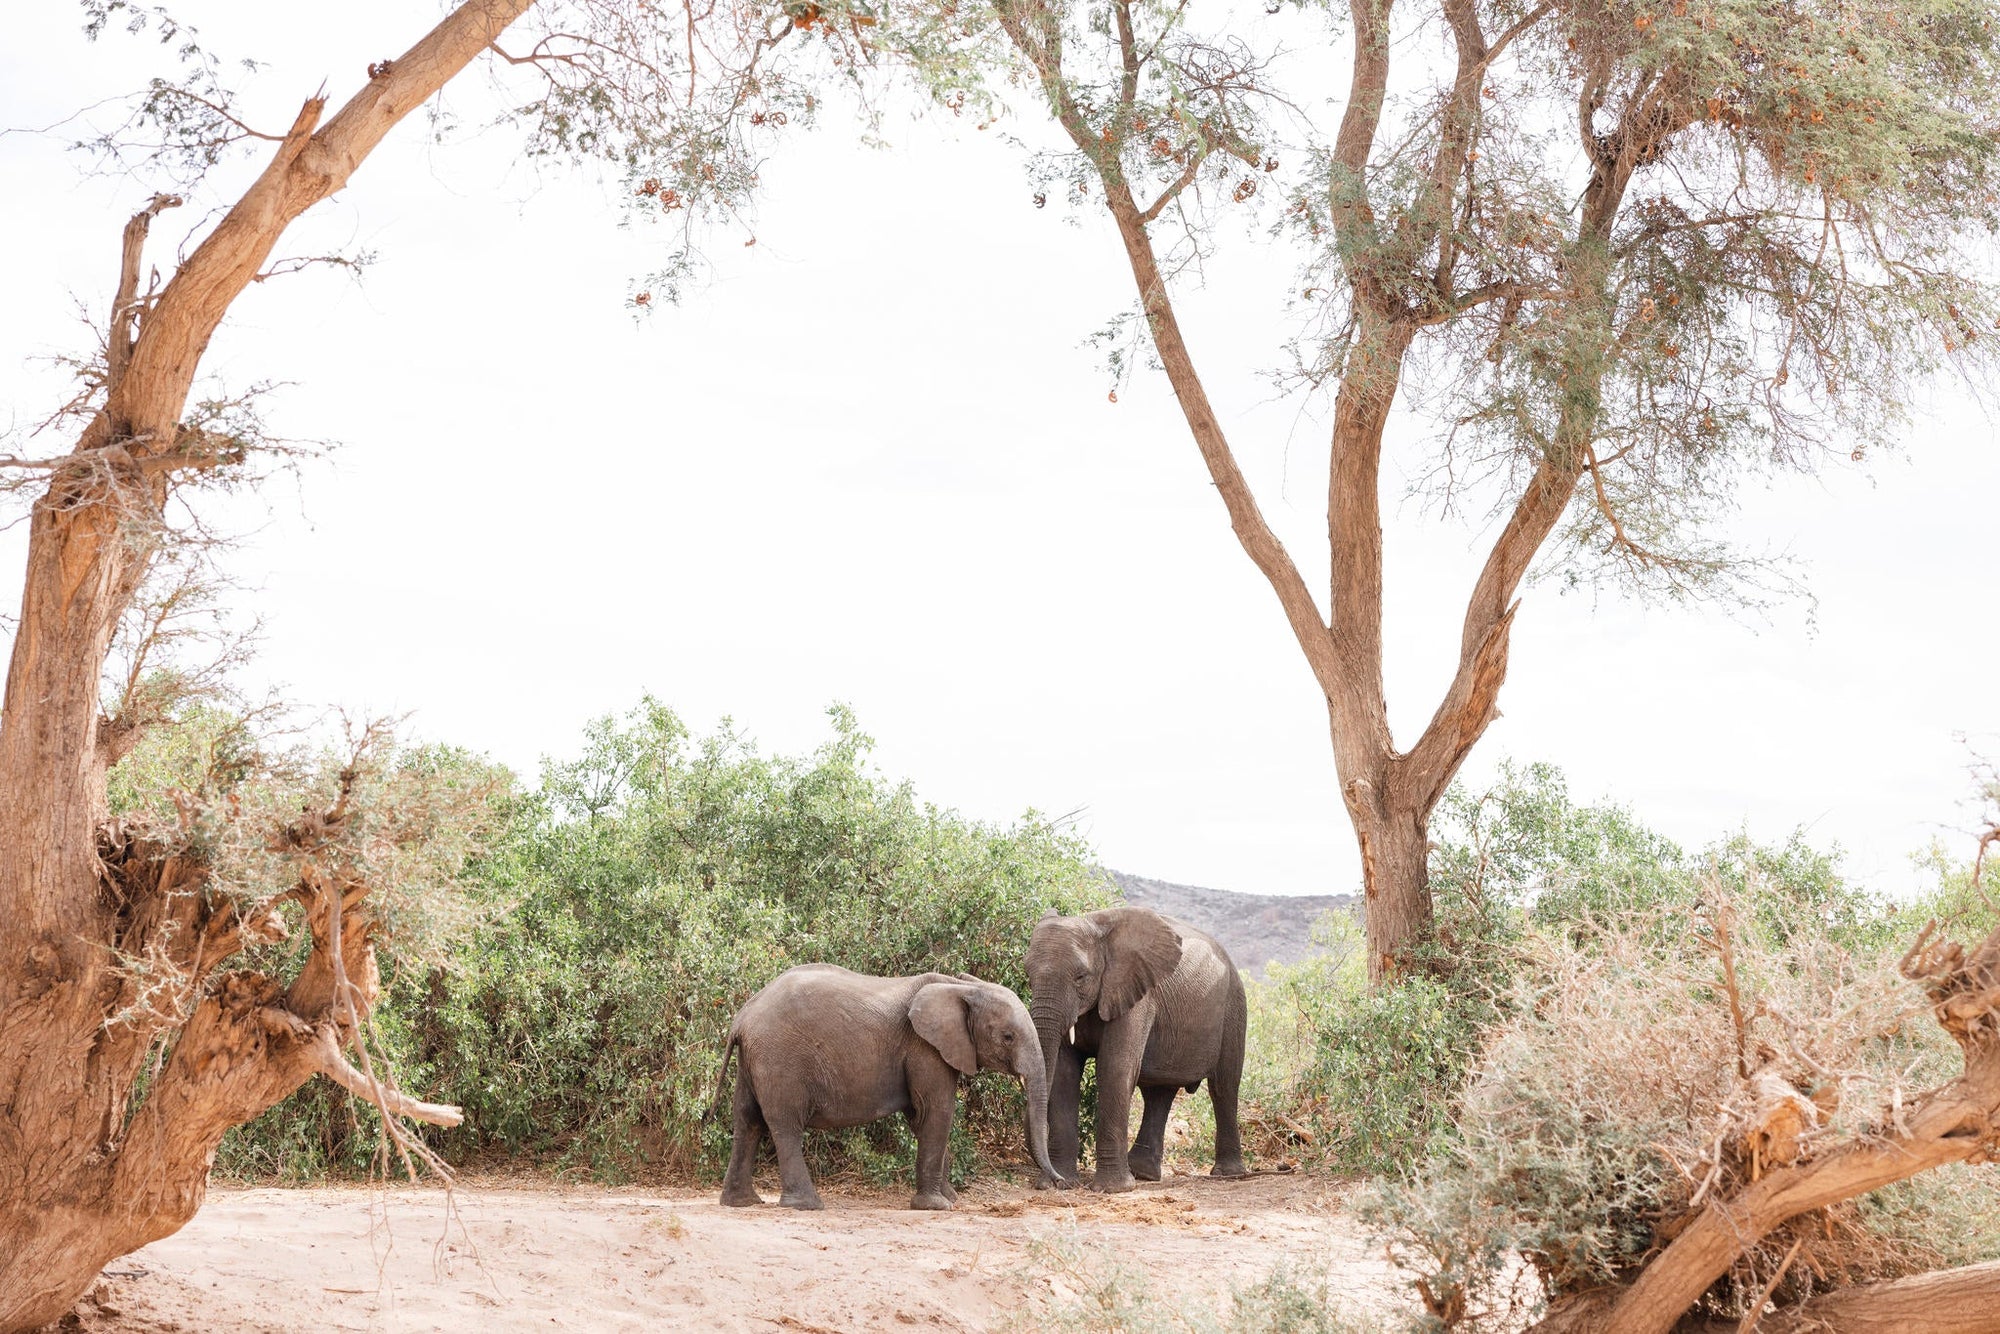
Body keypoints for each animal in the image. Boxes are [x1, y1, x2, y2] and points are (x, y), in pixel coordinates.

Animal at [711, 963, 1062, 1210]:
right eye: (1008, 1037)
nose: (1058, 1183)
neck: (961, 987)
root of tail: (741, 1018)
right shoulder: (925, 1048)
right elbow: (936, 1112)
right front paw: (937, 1206)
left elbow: (921, 1119)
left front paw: (950, 1198)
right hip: (780, 1061)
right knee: (785, 1125)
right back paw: (808, 1206)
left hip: (753, 1060)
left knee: (748, 1120)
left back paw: (742, 1203)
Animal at [1025, 906, 1248, 1192]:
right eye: (1028, 976)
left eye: (1080, 977)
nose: (1049, 1177)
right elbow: (1064, 1076)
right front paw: (1061, 1184)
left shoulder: (1136, 995)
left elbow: (1115, 1069)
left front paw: (1112, 1189)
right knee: (1159, 1093)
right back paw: (1143, 1173)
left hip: (1234, 1007)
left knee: (1223, 1087)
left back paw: (1228, 1174)